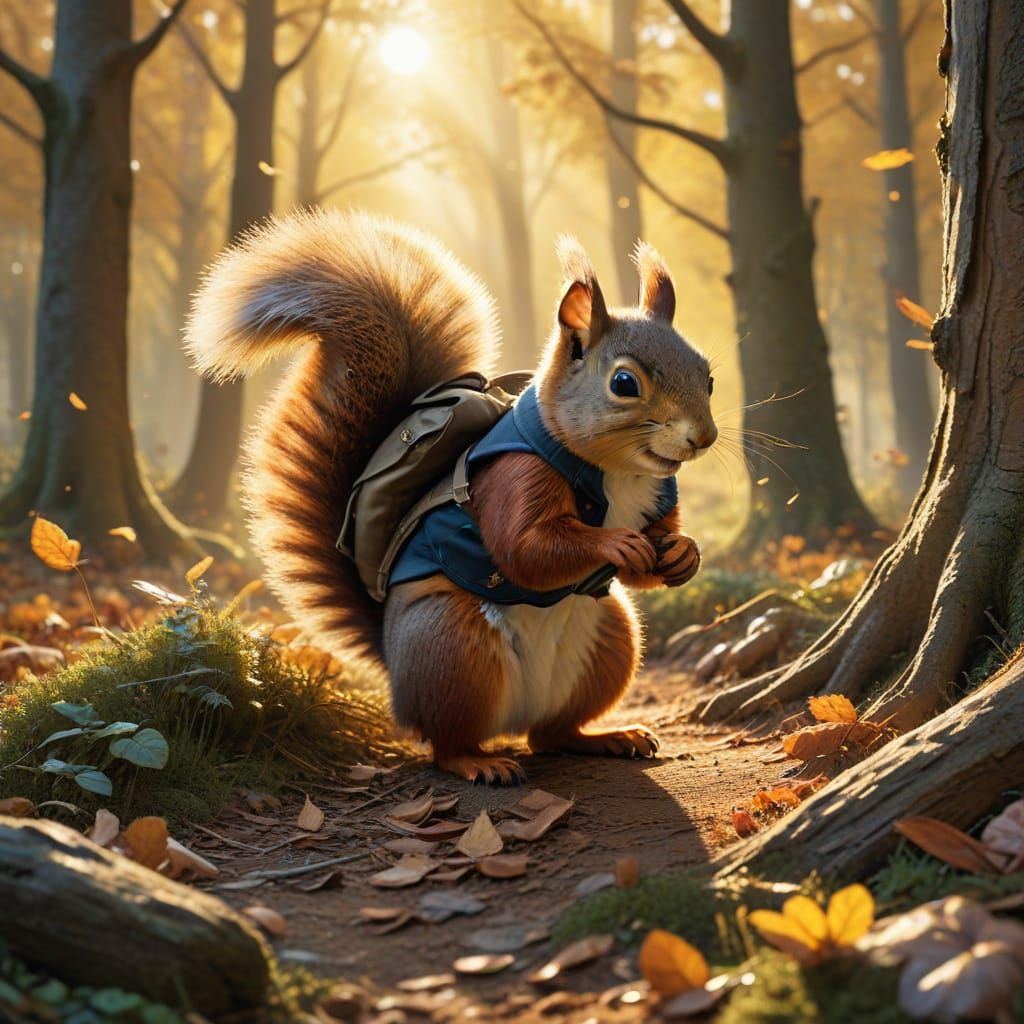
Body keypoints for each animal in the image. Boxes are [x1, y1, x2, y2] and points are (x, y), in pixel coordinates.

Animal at [185, 208, 717, 784]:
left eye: (708, 375)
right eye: (623, 383)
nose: (704, 437)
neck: (617, 473)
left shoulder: (657, 496)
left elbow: (654, 546)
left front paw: (683, 553)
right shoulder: (514, 477)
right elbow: (526, 550)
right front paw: (615, 544)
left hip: (611, 642)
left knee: (552, 734)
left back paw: (607, 737)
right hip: (453, 648)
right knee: (446, 742)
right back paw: (480, 762)